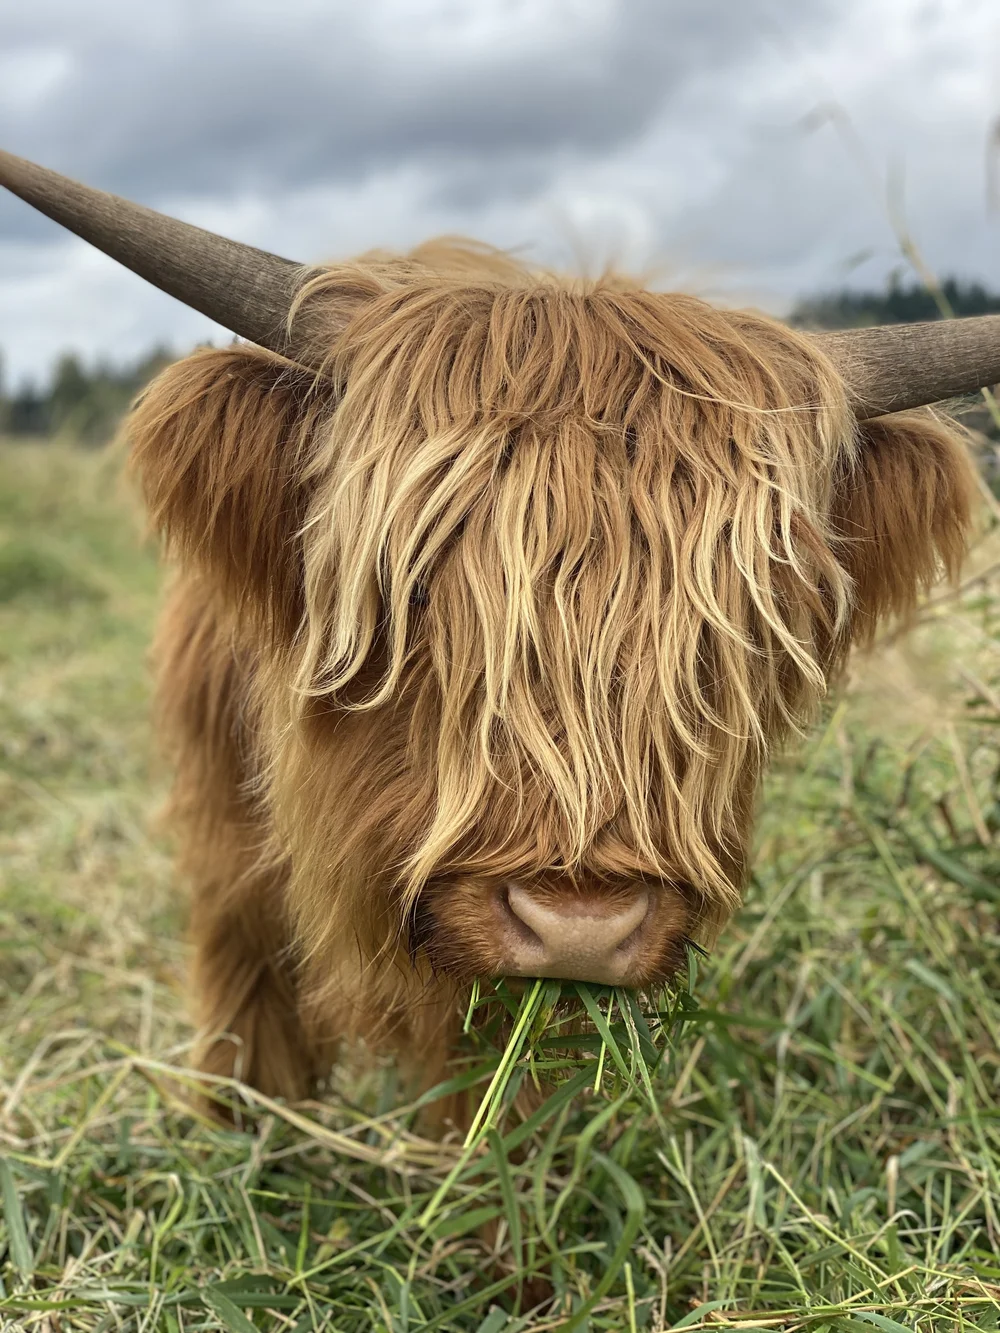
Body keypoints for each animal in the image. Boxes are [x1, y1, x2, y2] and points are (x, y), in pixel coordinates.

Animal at [1, 151, 995, 1114]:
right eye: (408, 595)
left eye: (739, 632)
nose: (580, 928)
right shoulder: (226, 853)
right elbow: (252, 1017)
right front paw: (244, 1137)